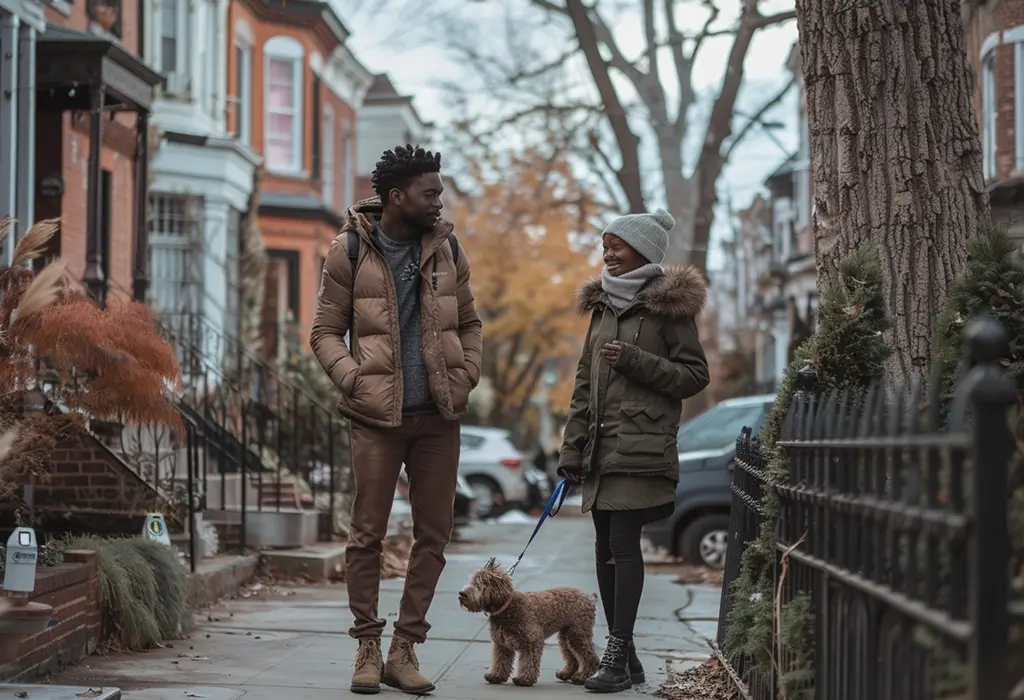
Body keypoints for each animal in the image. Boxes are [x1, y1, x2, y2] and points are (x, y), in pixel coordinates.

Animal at [458, 556, 598, 687]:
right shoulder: (501, 644)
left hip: (577, 634)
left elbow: (528, 662)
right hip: (566, 636)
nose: (461, 594)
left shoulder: (531, 641)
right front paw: (496, 676)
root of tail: (589, 597)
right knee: (572, 657)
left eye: (478, 584)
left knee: (590, 657)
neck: (507, 608)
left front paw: (524, 679)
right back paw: (565, 674)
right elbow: (500, 661)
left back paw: (582, 677)